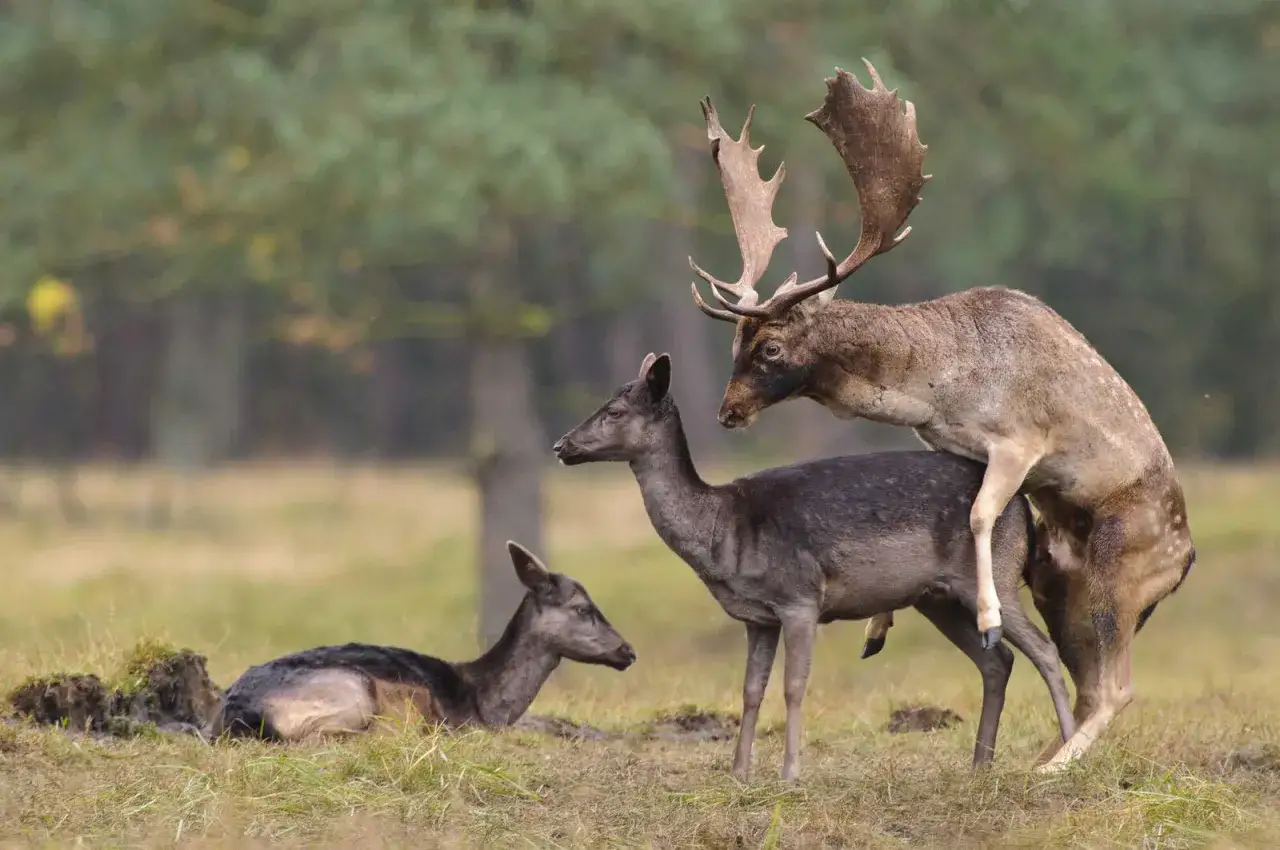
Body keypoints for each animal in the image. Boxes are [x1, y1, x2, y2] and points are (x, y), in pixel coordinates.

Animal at [552, 352, 1074, 782]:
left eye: (615, 412)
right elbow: (750, 689)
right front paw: (739, 773)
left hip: (996, 575)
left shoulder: (800, 598)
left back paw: (1068, 753)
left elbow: (793, 686)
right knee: (997, 660)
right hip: (938, 598)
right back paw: (979, 764)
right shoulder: (758, 618)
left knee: (1046, 650)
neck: (726, 535)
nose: (562, 445)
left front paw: (789, 774)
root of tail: (1025, 508)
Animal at [684, 59, 1196, 772]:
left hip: (1119, 575)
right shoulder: (946, 444)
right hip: (1060, 585)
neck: (941, 386)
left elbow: (980, 513)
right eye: (736, 341)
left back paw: (1050, 768)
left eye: (771, 348)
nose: (727, 411)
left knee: (1118, 687)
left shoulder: (1021, 440)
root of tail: (1187, 560)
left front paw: (984, 617)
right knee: (1090, 680)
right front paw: (878, 627)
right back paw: (1041, 756)